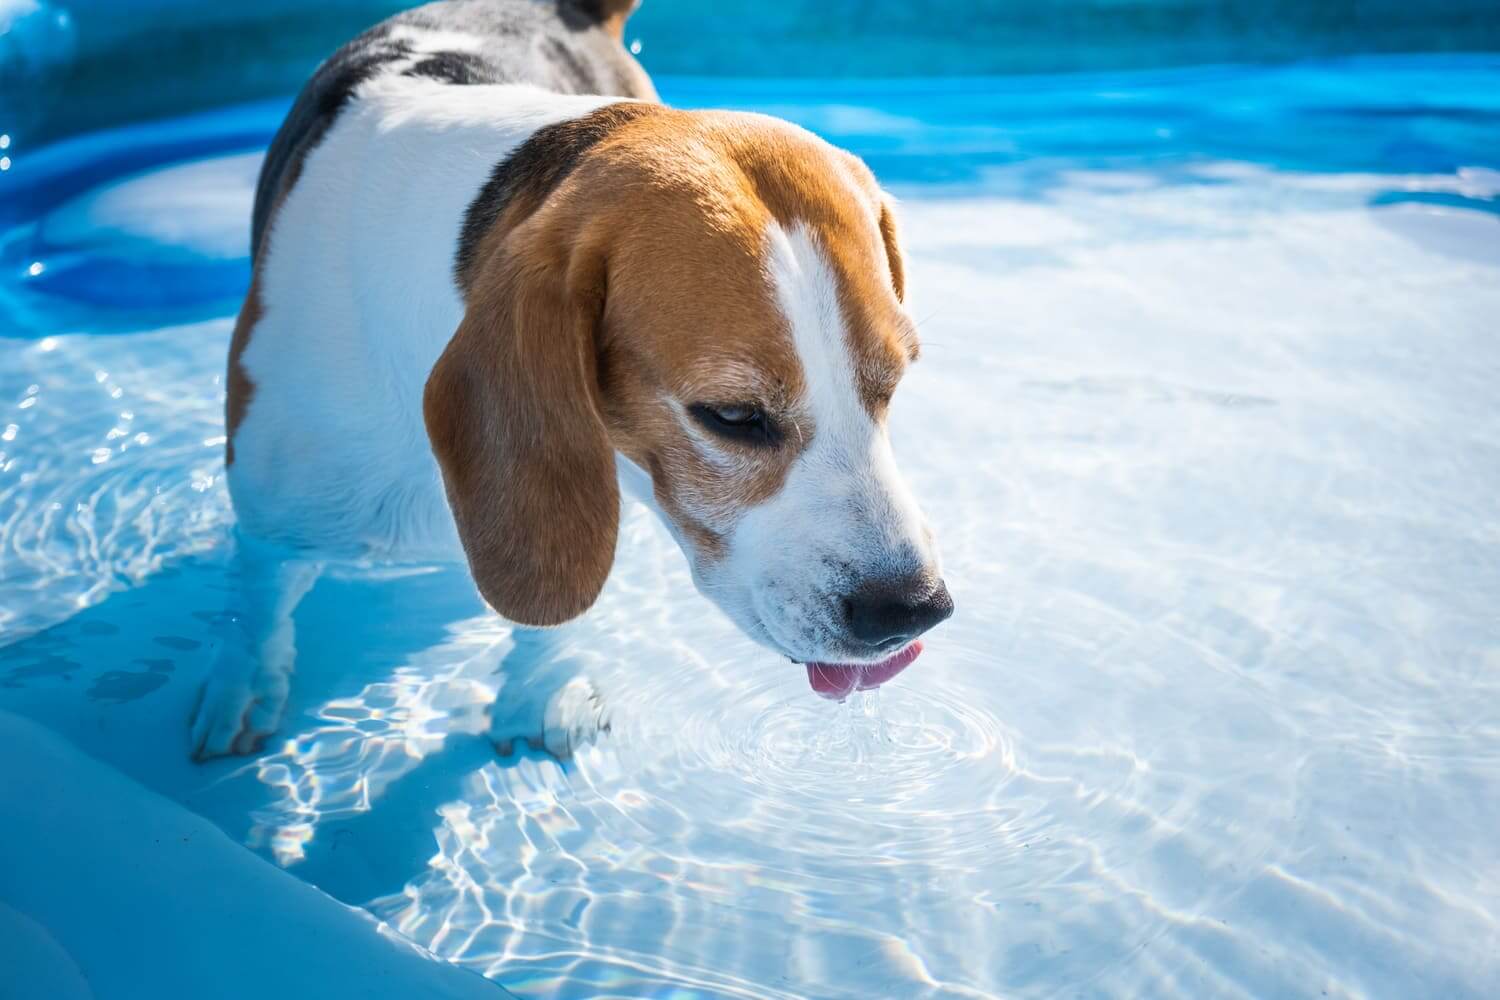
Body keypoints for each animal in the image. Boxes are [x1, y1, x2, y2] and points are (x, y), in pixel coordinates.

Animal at [193, 0, 954, 758]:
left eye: (891, 384)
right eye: (732, 417)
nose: (915, 610)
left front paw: (539, 689)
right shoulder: (271, 511)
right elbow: (259, 588)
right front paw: (244, 679)